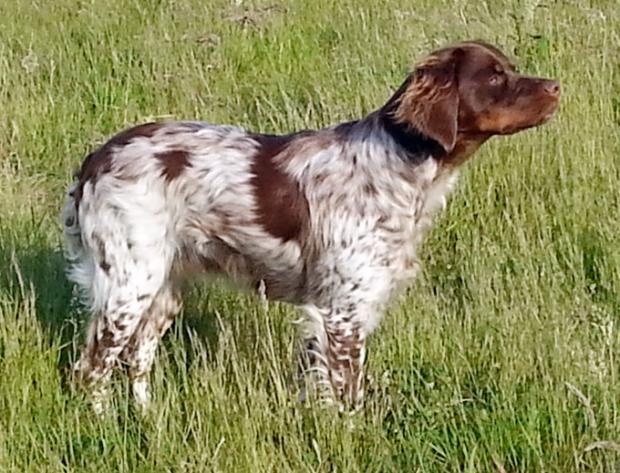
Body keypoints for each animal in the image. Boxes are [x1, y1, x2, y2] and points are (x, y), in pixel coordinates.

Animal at [60, 40, 560, 412]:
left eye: (509, 69)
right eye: (493, 76)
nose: (556, 86)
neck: (400, 165)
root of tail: (97, 159)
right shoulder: (342, 313)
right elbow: (347, 397)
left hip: (163, 290)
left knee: (136, 361)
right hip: (129, 286)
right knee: (91, 370)